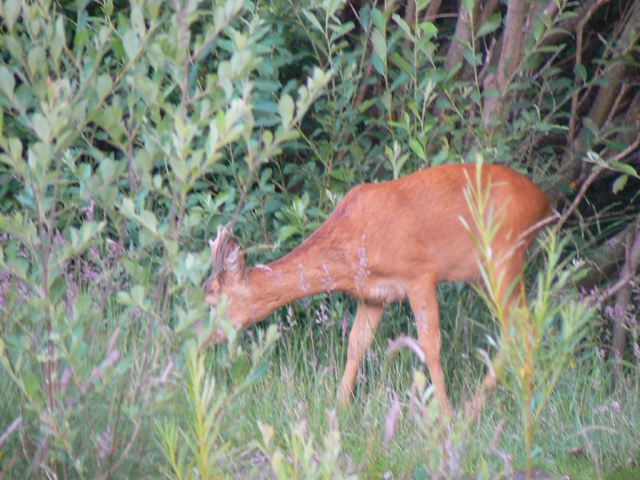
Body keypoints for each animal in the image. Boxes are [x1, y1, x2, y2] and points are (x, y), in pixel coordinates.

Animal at [203, 163, 551, 416]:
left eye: (211, 302)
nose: (199, 340)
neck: (354, 239)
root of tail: (543, 202)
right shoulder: (372, 295)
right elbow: (355, 346)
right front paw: (339, 407)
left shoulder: (420, 274)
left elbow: (430, 346)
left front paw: (445, 415)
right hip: (485, 273)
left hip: (505, 254)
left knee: (522, 328)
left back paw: (477, 409)